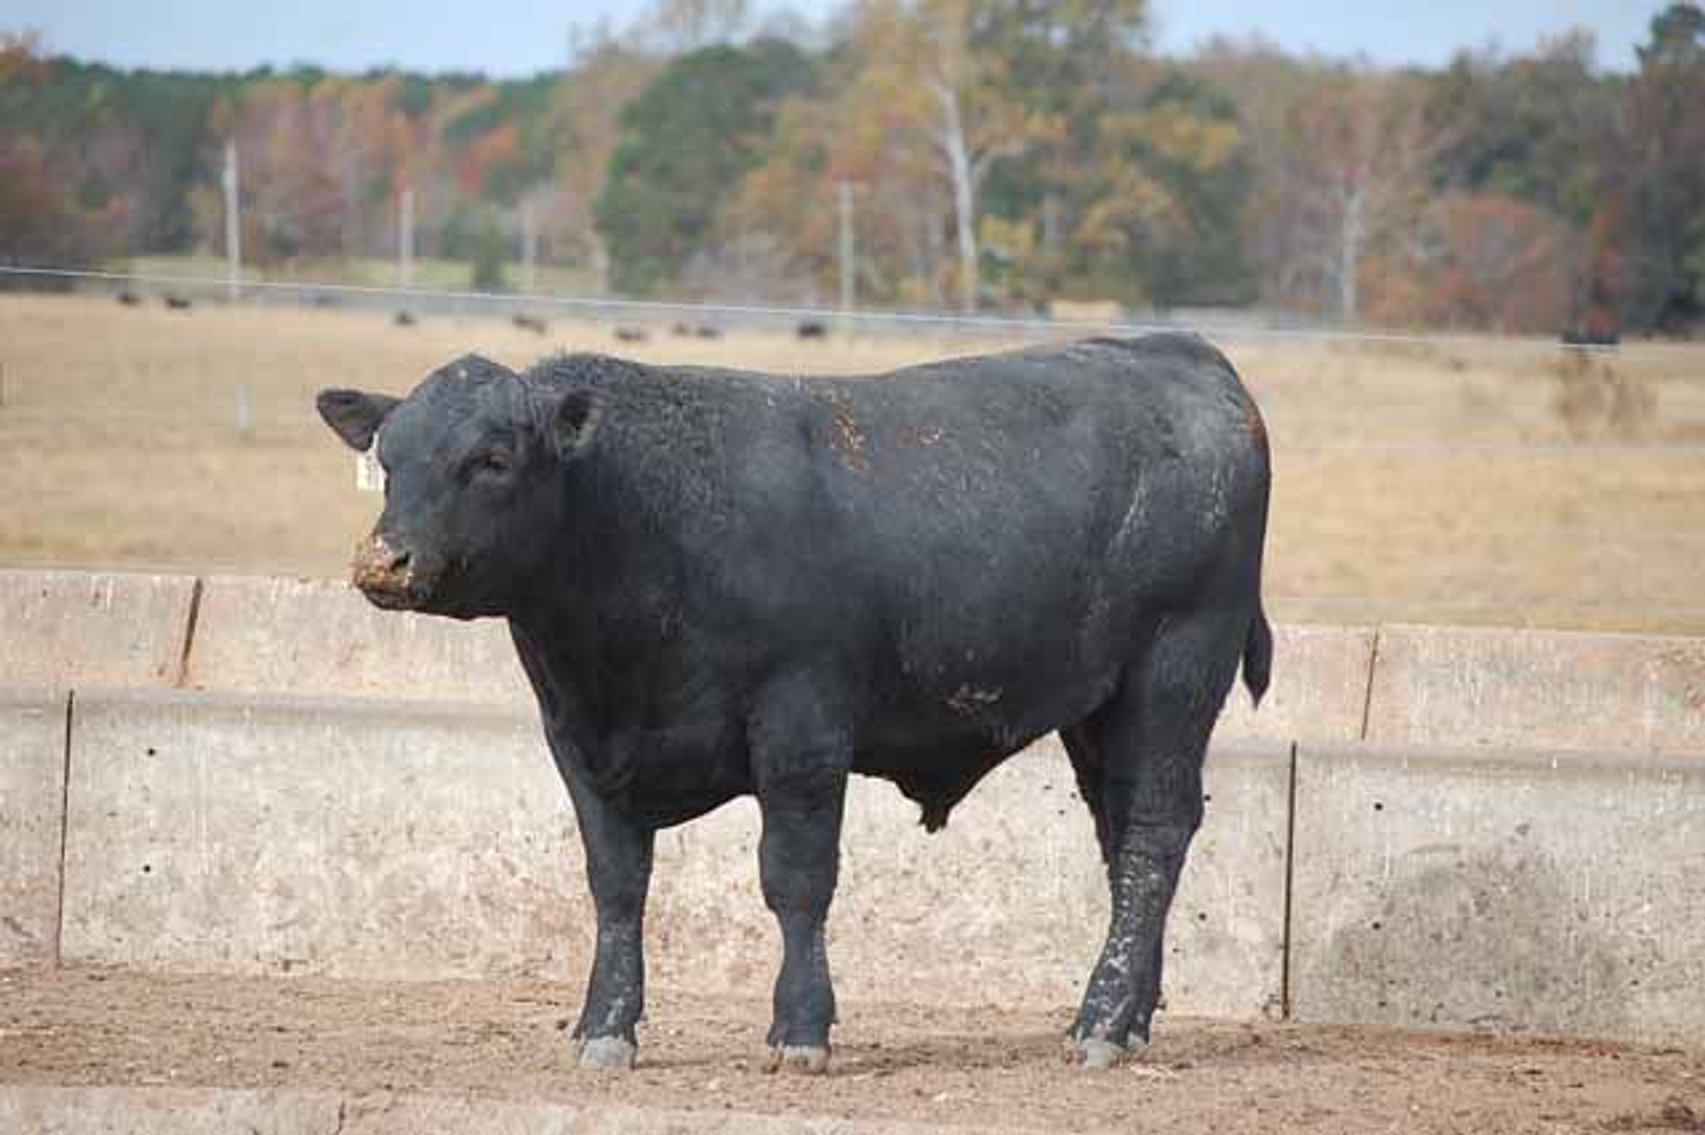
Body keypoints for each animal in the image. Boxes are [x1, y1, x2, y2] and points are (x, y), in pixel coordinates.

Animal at [315, 334, 1272, 1074]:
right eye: (389, 461)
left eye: (492, 460)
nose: (383, 562)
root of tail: (1180, 351)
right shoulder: (577, 741)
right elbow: (615, 884)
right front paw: (604, 1027)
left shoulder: (802, 728)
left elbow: (796, 877)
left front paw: (799, 1026)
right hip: (1099, 708)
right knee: (1123, 838)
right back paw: (1126, 1015)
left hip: (1176, 671)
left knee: (1153, 834)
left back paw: (1102, 1022)